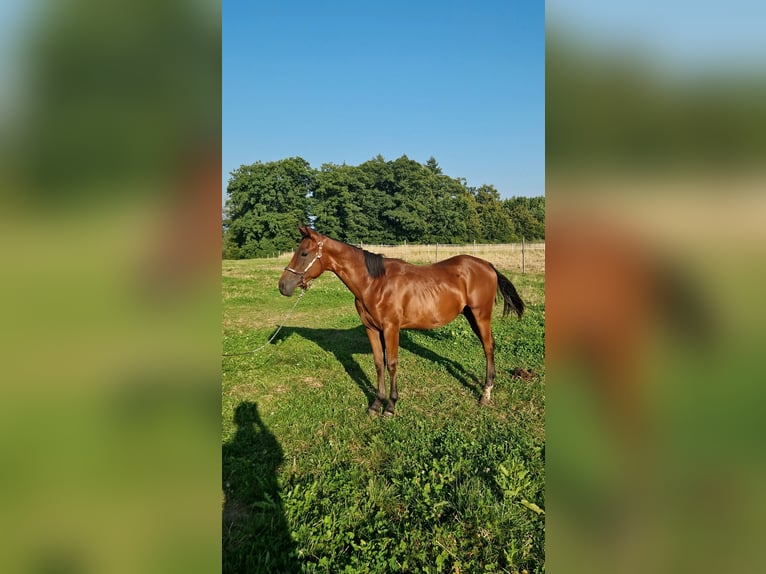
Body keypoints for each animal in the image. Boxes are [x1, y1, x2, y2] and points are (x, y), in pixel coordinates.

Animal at [278, 226, 525, 415]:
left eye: (304, 253)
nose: (283, 286)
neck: (374, 283)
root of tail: (487, 265)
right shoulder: (371, 329)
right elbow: (379, 364)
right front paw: (376, 404)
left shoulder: (391, 329)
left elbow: (392, 364)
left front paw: (390, 406)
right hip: (471, 316)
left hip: (481, 315)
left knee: (488, 347)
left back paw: (486, 393)